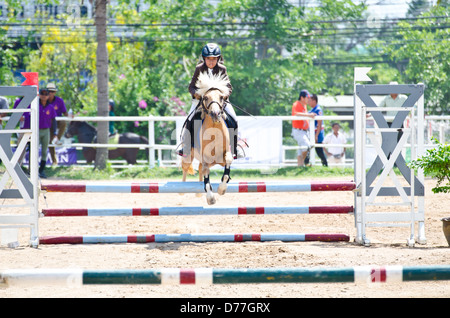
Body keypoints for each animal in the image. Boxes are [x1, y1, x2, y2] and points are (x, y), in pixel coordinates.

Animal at [181, 71, 234, 205]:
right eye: (205, 98)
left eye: (221, 97)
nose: (215, 114)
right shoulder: (206, 158)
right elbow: (205, 171)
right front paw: (210, 197)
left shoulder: (223, 156)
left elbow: (228, 162)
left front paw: (221, 189)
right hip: (189, 155)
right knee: (186, 167)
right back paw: (181, 190)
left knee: (199, 168)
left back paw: (198, 193)